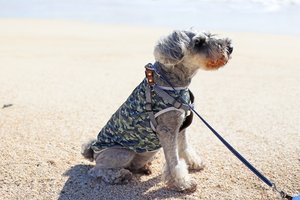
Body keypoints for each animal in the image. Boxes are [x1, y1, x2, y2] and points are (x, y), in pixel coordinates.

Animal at [82, 29, 234, 192]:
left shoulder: (180, 126)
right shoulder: (167, 130)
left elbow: (184, 147)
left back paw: (145, 167)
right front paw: (183, 183)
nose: (230, 48)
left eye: (209, 34)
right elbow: (174, 162)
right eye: (198, 42)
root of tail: (93, 150)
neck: (171, 83)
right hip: (122, 153)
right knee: (97, 170)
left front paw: (194, 163)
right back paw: (119, 176)